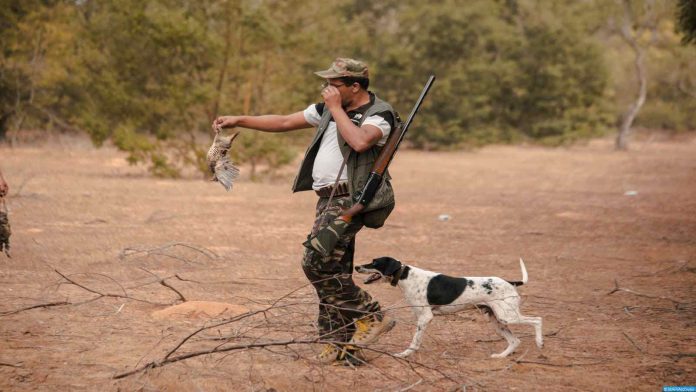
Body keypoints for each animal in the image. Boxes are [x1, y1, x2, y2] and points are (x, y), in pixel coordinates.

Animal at [354, 258, 544, 358]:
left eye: (374, 262)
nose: (356, 266)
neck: (406, 276)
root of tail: (511, 282)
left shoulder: (425, 317)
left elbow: (415, 340)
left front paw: (405, 354)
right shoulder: (420, 317)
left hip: (507, 317)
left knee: (537, 320)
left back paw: (539, 342)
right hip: (498, 321)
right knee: (515, 341)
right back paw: (500, 356)